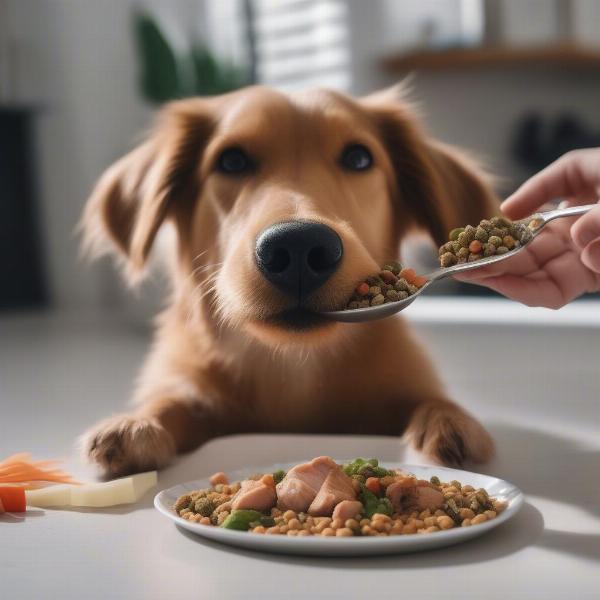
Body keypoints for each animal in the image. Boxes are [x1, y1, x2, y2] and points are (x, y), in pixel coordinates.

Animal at [82, 85, 500, 478]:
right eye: (231, 160)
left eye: (359, 158)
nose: (299, 246)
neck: (293, 367)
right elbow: (173, 401)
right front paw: (137, 424)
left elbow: (428, 398)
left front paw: (447, 419)